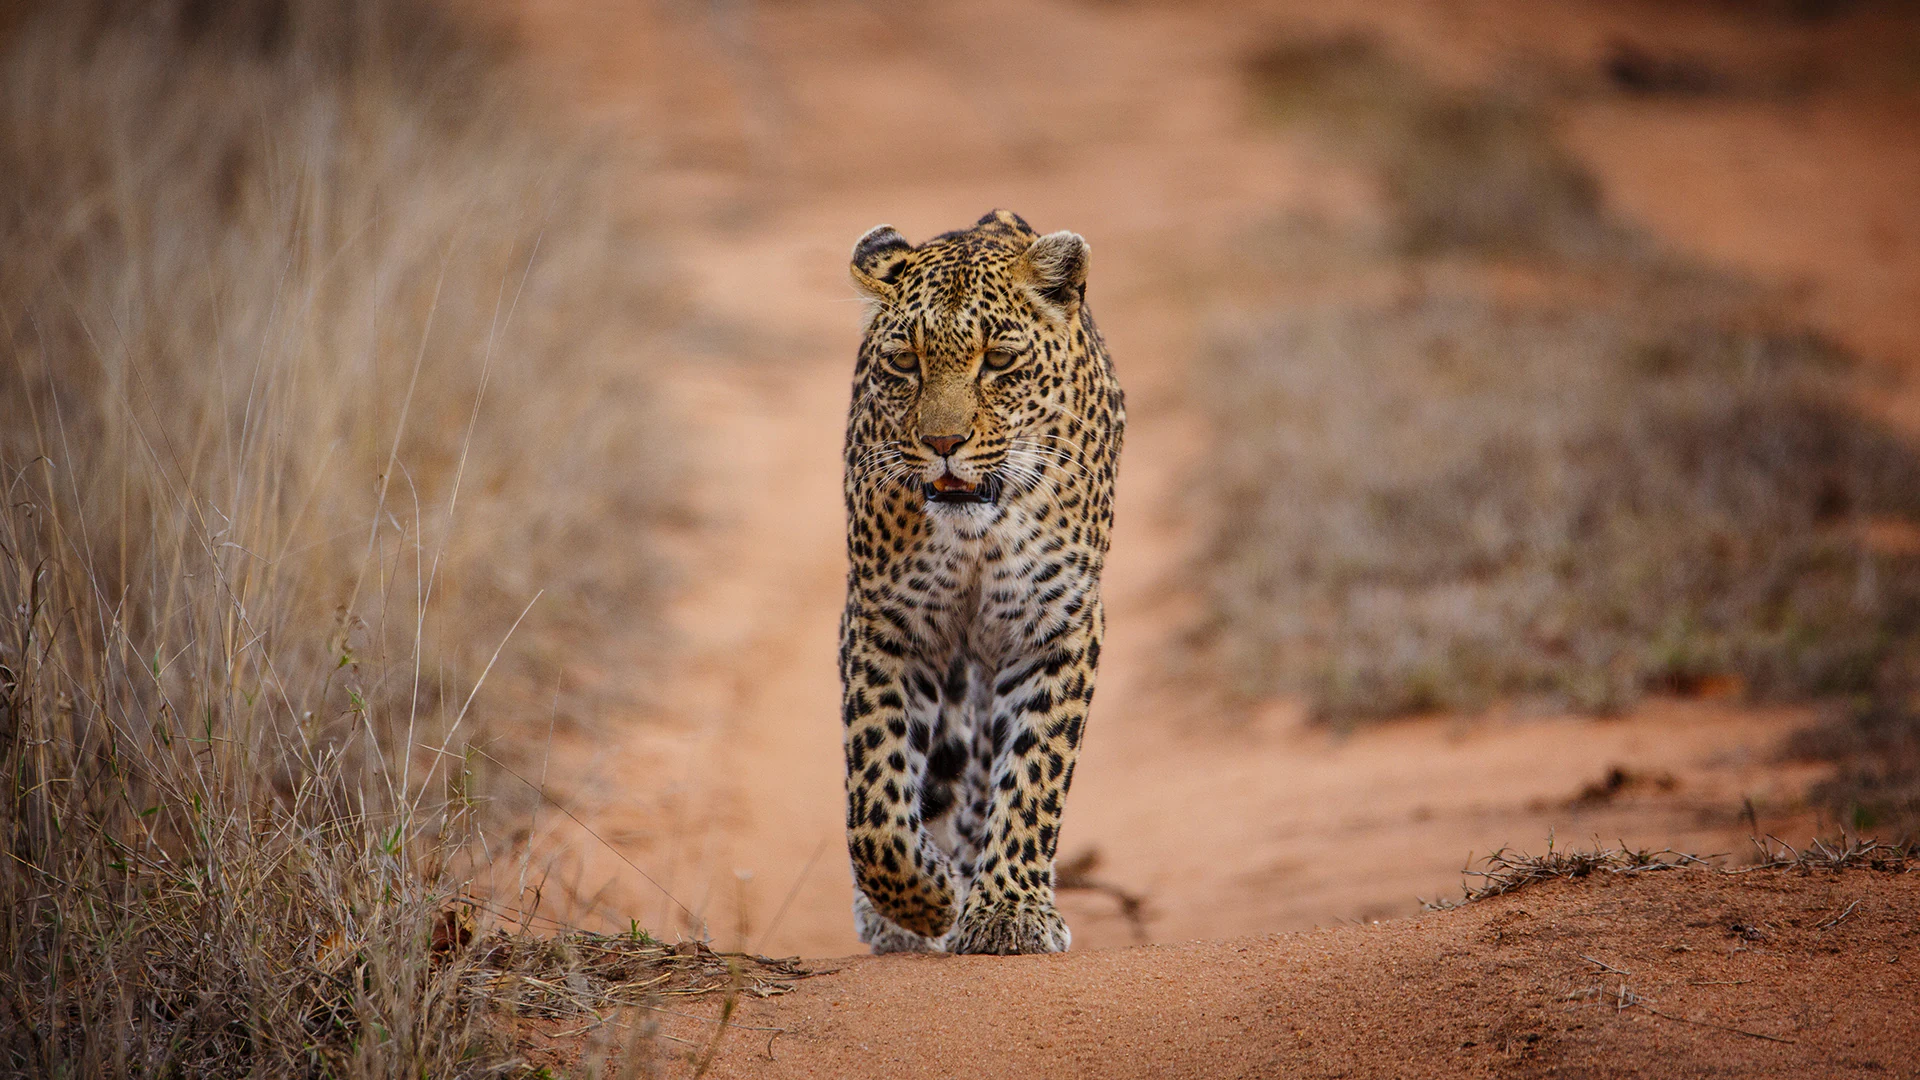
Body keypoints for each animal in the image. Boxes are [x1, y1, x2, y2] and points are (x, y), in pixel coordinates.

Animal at [839, 209, 1125, 955]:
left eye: (997, 361)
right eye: (904, 363)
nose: (944, 444)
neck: (974, 531)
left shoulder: (1055, 623)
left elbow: (1033, 775)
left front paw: (1007, 913)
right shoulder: (887, 623)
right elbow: (875, 805)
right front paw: (925, 901)